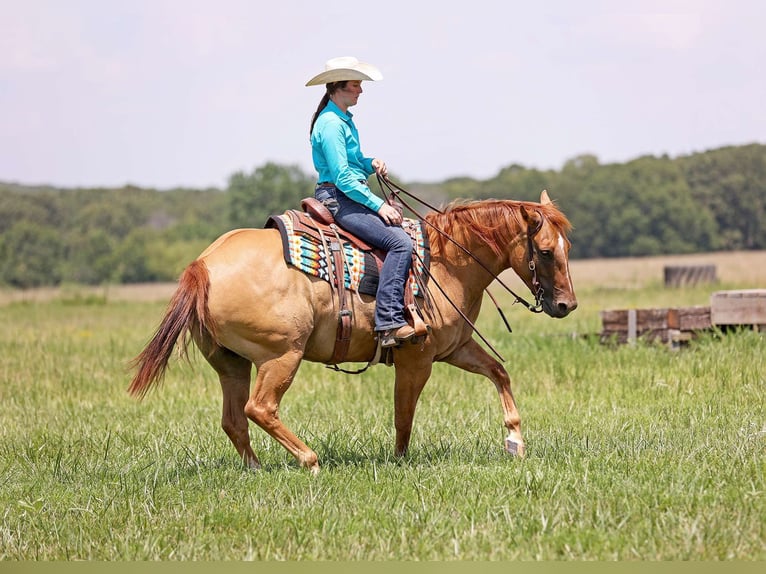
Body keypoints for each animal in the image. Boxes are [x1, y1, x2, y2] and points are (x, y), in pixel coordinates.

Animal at [128, 190, 577, 473]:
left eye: (567, 249)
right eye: (546, 251)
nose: (566, 305)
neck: (444, 261)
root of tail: (203, 264)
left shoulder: (456, 348)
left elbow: (499, 373)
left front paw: (515, 441)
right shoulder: (417, 358)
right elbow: (403, 414)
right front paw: (399, 460)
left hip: (230, 363)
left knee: (235, 419)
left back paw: (256, 469)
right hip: (281, 357)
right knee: (260, 409)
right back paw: (309, 461)